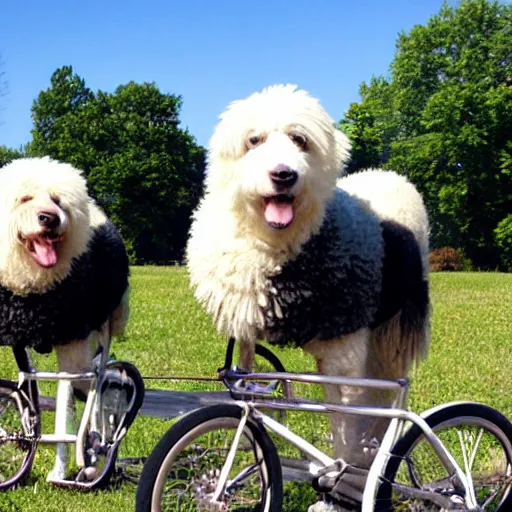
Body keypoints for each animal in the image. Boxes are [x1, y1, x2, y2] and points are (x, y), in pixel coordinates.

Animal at [0, 155, 128, 480]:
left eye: (58, 201)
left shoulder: (71, 342)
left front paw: (59, 472)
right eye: (24, 198)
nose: (50, 218)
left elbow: (65, 418)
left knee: (100, 383)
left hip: (100, 330)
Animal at [186, 85, 430, 484]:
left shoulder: (346, 344)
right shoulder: (246, 331)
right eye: (254, 140)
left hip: (389, 333)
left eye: (300, 140)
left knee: (385, 393)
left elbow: (346, 416)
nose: (283, 175)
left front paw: (345, 473)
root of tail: (387, 175)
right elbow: (247, 385)